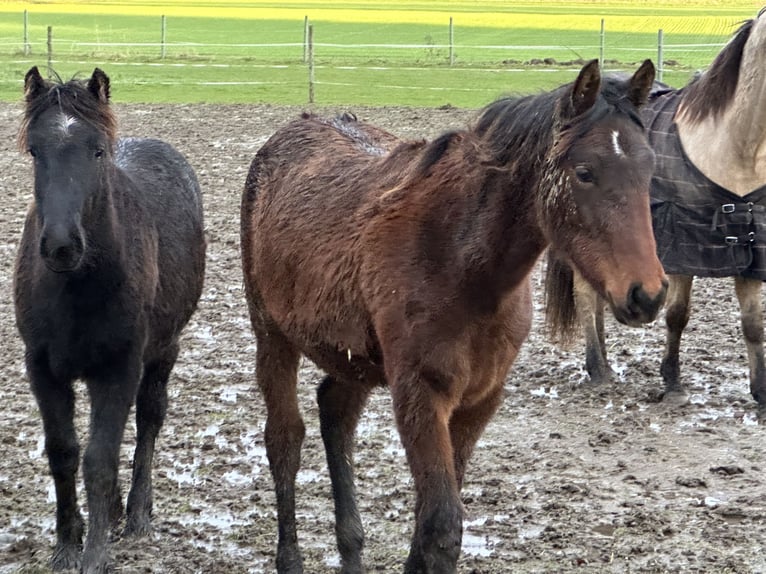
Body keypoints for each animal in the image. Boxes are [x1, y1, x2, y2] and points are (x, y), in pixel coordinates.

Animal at [13, 68, 206, 574]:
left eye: (97, 150)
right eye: (34, 150)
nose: (61, 245)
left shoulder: (118, 368)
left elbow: (100, 459)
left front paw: (96, 553)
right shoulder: (42, 369)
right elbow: (64, 452)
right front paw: (66, 545)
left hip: (163, 352)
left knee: (148, 422)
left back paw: (136, 513)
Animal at [243, 59, 668, 574]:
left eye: (649, 168)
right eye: (585, 172)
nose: (647, 294)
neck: (462, 263)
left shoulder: (479, 400)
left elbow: (429, 526)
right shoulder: (420, 396)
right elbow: (442, 529)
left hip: (352, 358)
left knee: (335, 416)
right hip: (272, 337)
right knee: (284, 438)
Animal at [544, 7, 766, 414]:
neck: (730, 147)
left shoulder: (749, 248)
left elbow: (752, 323)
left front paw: (760, 392)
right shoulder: (681, 247)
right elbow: (677, 315)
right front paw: (673, 382)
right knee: (585, 295)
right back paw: (597, 368)